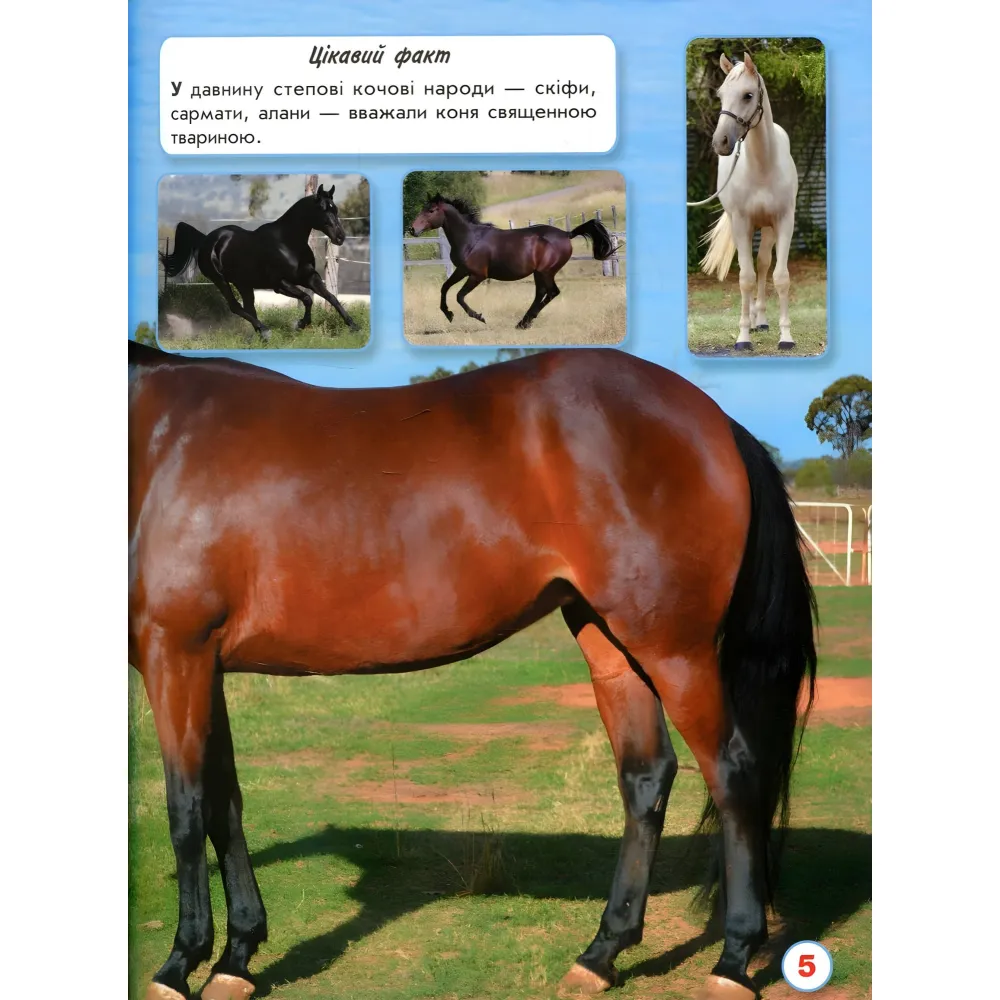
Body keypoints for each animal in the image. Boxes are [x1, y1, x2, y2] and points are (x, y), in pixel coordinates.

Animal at [129, 340, 817, 1000]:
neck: (159, 443)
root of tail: (716, 420)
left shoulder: (176, 653)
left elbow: (185, 810)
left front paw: (179, 965)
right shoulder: (205, 663)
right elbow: (225, 803)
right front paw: (236, 960)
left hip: (675, 649)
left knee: (733, 773)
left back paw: (732, 960)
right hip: (611, 642)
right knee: (646, 777)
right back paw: (601, 955)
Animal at [159, 184, 359, 343]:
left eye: (335, 209)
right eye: (323, 209)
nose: (340, 237)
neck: (287, 242)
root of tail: (206, 240)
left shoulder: (309, 277)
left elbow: (331, 297)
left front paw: (354, 326)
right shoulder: (280, 283)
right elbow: (307, 299)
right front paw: (300, 324)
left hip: (243, 283)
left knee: (249, 308)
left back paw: (261, 336)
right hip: (220, 280)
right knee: (236, 307)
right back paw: (265, 331)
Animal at [410, 195, 618, 331]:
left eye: (430, 210)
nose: (412, 229)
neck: (470, 239)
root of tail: (567, 234)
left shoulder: (477, 275)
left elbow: (460, 296)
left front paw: (479, 317)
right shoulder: (461, 270)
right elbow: (444, 288)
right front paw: (448, 314)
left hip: (545, 271)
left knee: (551, 292)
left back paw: (524, 323)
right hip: (539, 273)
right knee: (542, 293)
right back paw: (524, 322)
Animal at [699, 53, 799, 351]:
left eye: (748, 95)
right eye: (720, 94)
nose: (720, 142)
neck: (762, 168)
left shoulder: (784, 222)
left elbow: (780, 277)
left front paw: (786, 337)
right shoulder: (741, 223)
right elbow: (745, 278)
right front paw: (743, 337)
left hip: (766, 228)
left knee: (764, 264)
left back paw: (762, 320)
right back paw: (754, 322)